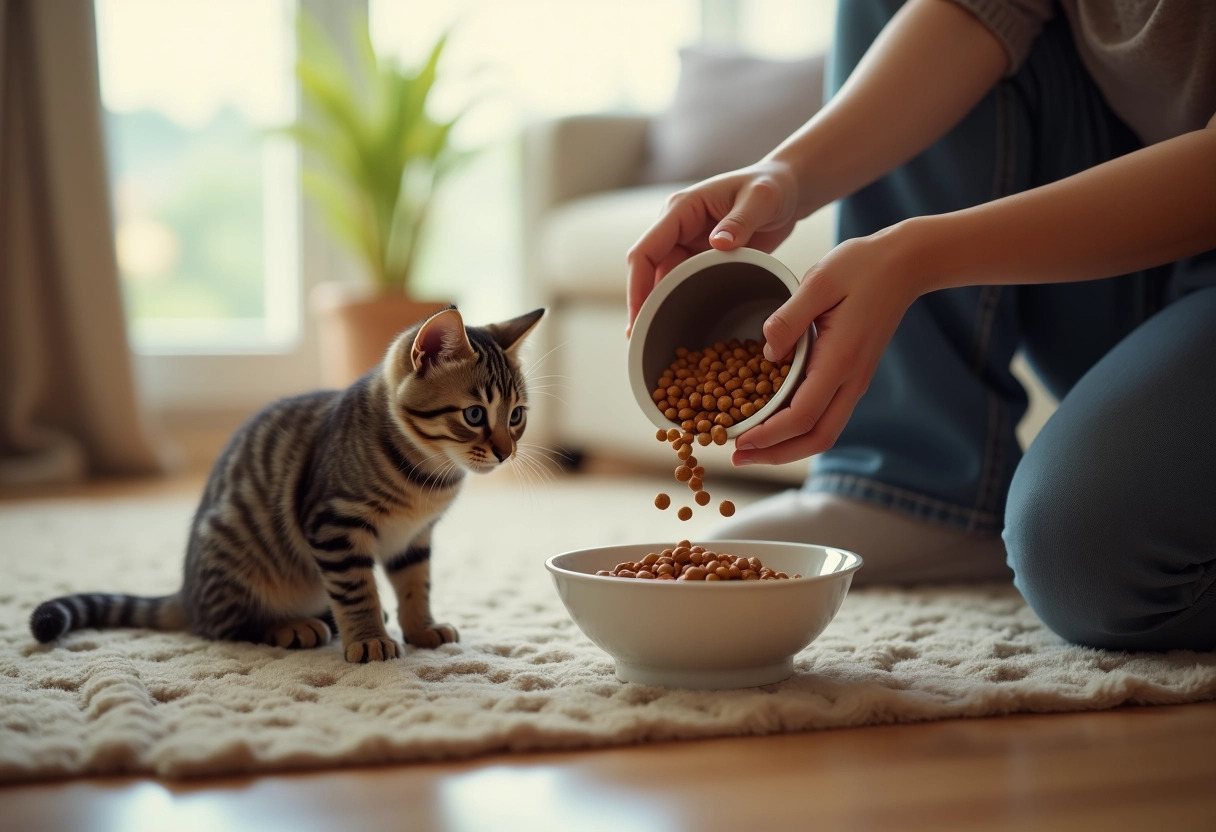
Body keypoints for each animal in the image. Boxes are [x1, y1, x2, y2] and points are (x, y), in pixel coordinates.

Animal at [30, 305, 544, 661]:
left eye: (517, 416)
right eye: (474, 414)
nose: (506, 451)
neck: (428, 477)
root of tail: (187, 595)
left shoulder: (414, 539)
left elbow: (416, 587)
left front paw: (420, 628)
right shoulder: (335, 525)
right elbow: (358, 590)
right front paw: (370, 640)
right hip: (235, 557)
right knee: (226, 627)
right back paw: (291, 627)